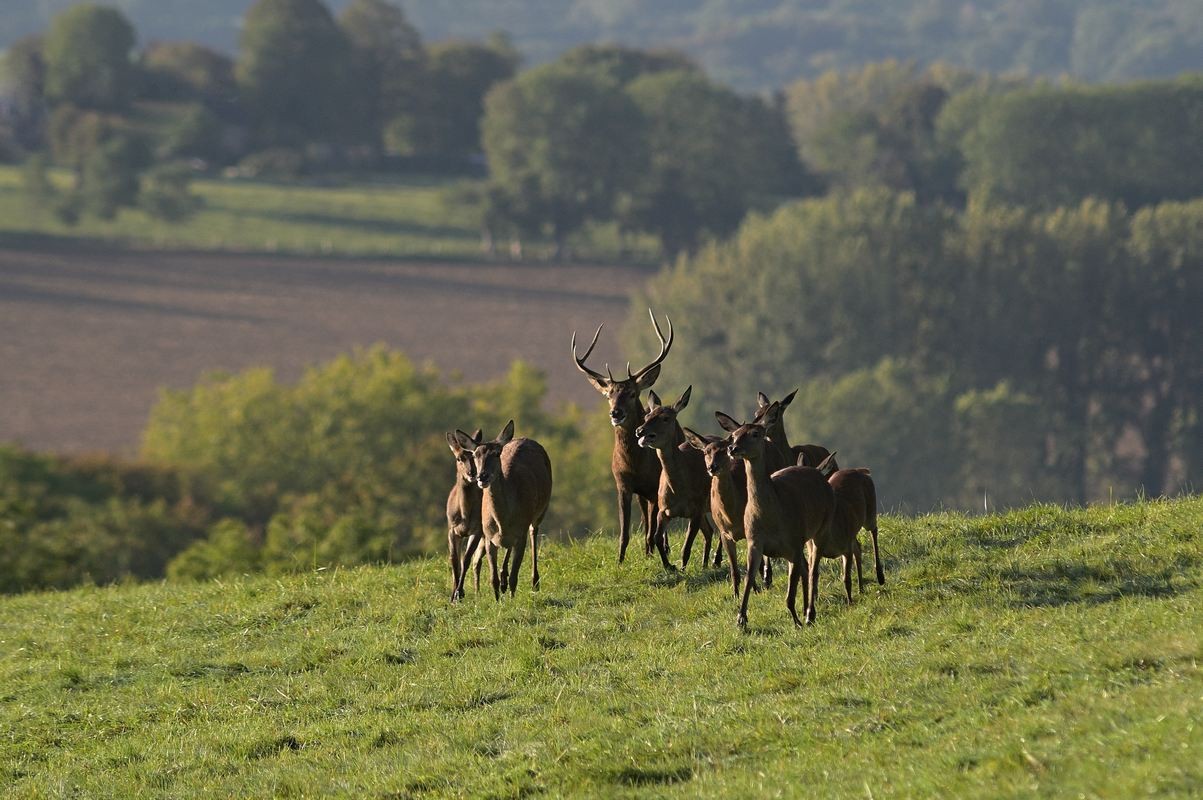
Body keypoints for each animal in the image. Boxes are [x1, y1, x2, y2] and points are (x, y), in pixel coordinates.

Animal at [452, 418, 550, 599]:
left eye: (497, 454)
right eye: (475, 454)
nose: (481, 476)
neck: (503, 521)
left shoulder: (521, 533)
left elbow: (514, 577)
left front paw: (512, 599)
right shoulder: (488, 536)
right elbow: (493, 579)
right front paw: (498, 598)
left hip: (540, 511)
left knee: (534, 533)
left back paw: (535, 582)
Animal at [570, 312, 668, 567]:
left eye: (632, 393)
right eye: (608, 395)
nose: (616, 413)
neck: (636, 464)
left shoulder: (655, 485)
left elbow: (653, 527)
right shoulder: (622, 484)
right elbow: (625, 530)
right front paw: (620, 561)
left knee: (655, 523)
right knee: (646, 521)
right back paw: (648, 552)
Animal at [639, 384, 712, 567]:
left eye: (665, 418)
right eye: (647, 415)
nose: (640, 431)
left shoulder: (697, 509)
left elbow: (686, 548)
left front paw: (682, 568)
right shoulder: (663, 508)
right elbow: (657, 537)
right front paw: (669, 566)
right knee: (710, 532)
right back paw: (705, 564)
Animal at [716, 401, 832, 625]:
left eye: (755, 433)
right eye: (734, 435)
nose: (733, 449)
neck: (771, 517)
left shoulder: (793, 543)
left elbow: (790, 592)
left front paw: (796, 621)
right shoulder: (754, 541)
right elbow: (748, 578)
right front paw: (741, 619)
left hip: (821, 527)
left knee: (813, 569)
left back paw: (810, 613)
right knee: (807, 568)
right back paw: (807, 610)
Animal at [818, 452, 885, 589]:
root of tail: (859, 470)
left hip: (870, 510)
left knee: (873, 530)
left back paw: (880, 576)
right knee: (858, 547)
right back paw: (861, 588)